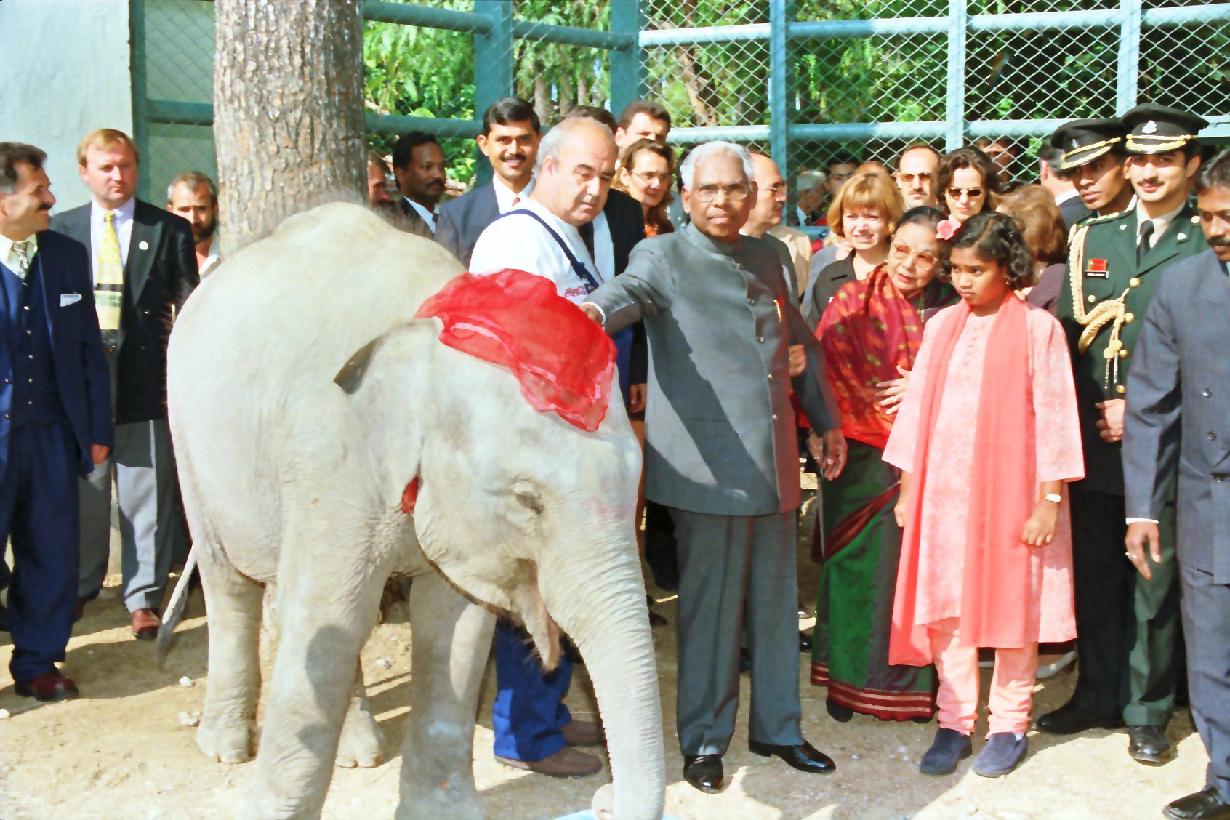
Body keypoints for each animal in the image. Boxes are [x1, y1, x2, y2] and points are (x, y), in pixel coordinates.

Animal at [163, 202, 665, 818]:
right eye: (529, 500)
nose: (603, 795)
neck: (431, 337)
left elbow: (453, 624)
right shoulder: (332, 451)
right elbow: (331, 615)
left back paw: (357, 752)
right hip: (186, 433)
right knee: (229, 583)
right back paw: (227, 747)